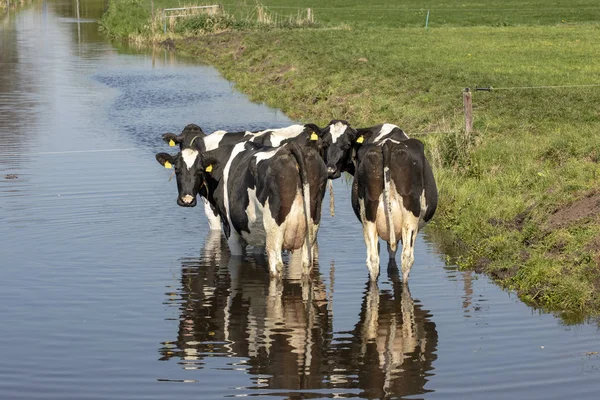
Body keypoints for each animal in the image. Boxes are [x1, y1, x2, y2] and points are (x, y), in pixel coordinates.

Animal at [155, 137, 328, 276]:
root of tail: (290, 147)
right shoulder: (258, 232)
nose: (187, 200)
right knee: (306, 263)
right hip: (310, 227)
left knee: (276, 265)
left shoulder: (231, 229)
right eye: (177, 170)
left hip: (275, 229)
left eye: (199, 171)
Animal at [318, 120, 436, 280]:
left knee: (373, 260)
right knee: (405, 259)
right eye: (325, 143)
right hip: (409, 218)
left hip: (369, 215)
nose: (330, 170)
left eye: (347, 144)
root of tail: (387, 144)